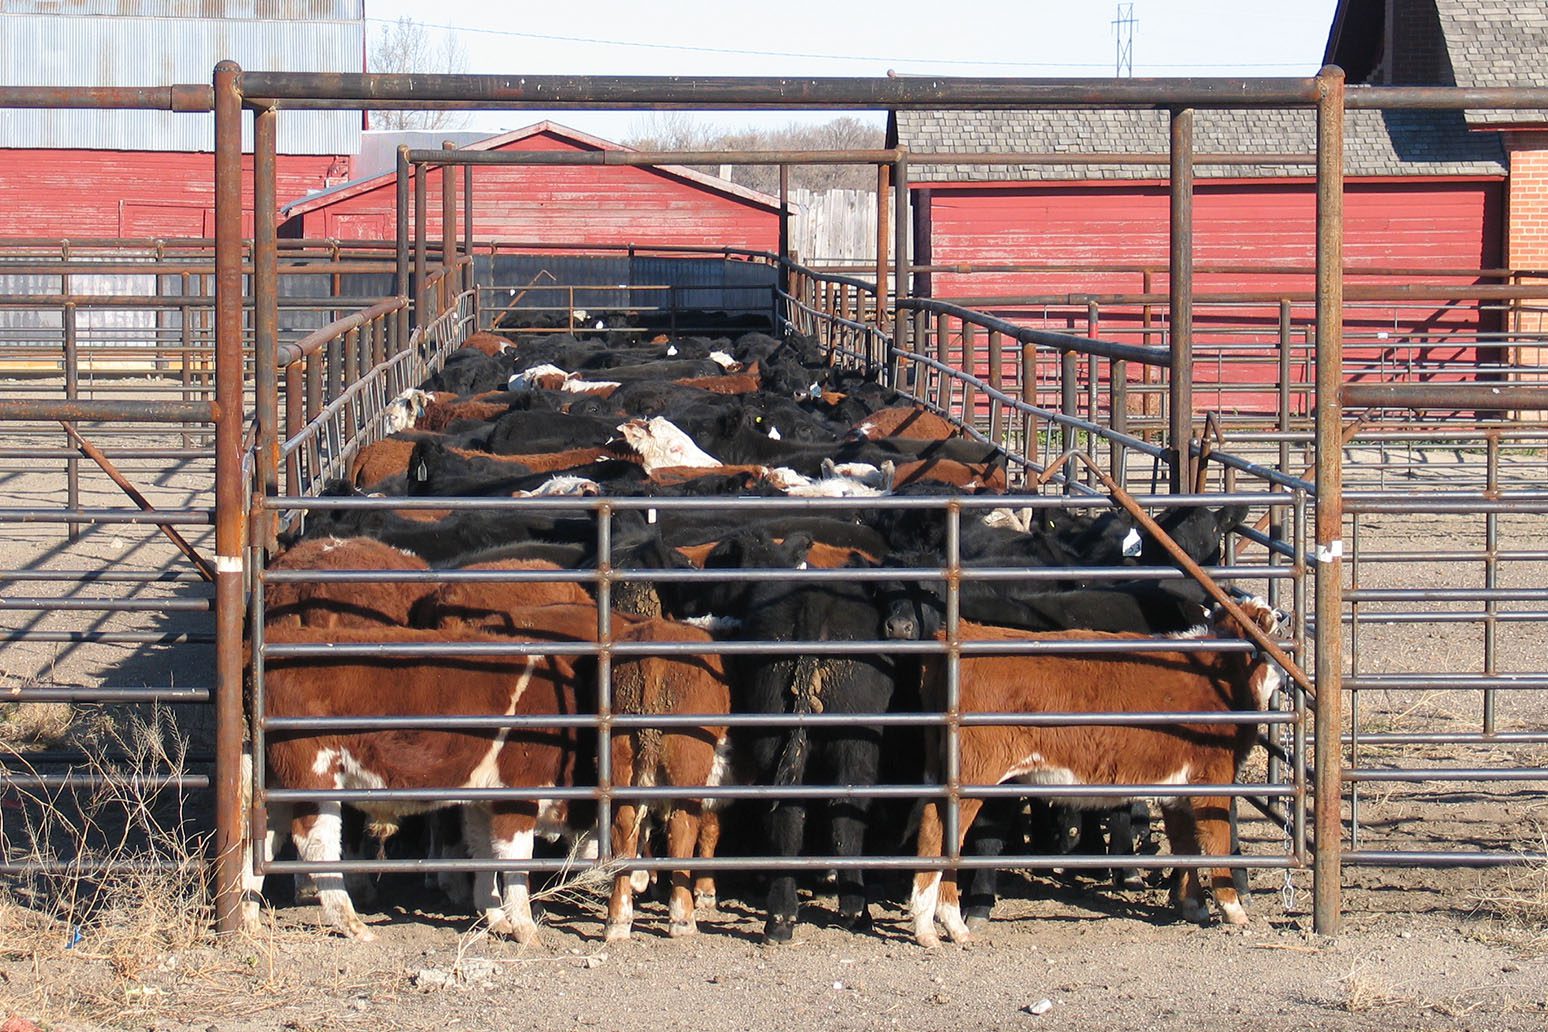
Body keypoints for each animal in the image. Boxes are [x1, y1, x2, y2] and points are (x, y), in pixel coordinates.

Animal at [904, 600, 1281, 946]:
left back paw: (944, 925)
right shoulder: (1213, 778)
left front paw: (1195, 907)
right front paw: (1234, 911)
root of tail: (965, 634)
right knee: (940, 833)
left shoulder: (1177, 789)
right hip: (974, 772)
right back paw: (936, 927)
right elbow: (1217, 840)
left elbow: (1184, 845)